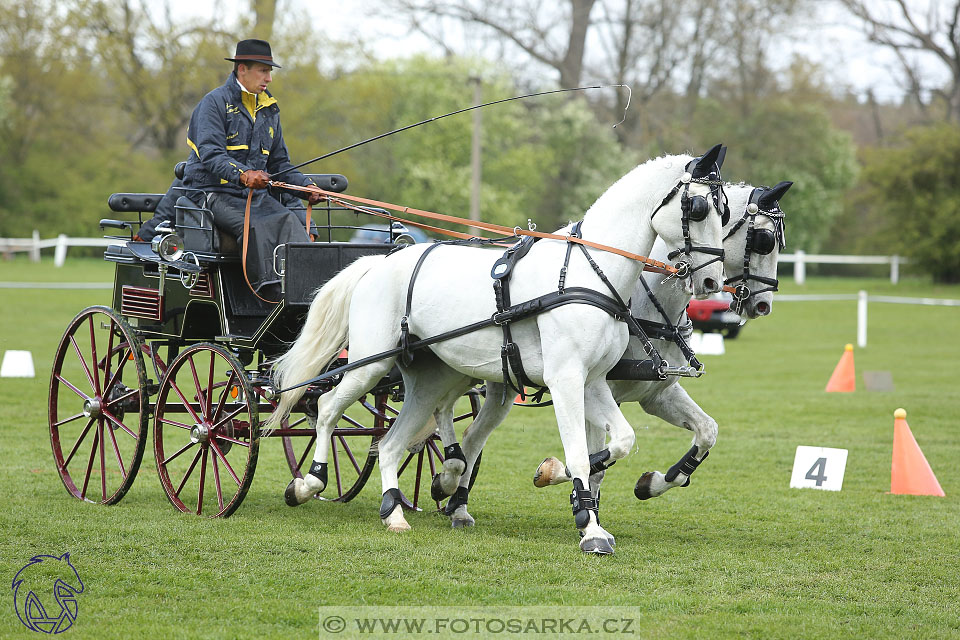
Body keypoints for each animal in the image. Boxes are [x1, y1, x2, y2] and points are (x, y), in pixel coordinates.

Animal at [266, 145, 724, 556]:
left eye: (725, 213)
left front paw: (563, 487)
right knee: (326, 407)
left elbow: (621, 441)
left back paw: (394, 512)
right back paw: (308, 483)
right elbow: (579, 454)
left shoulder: (593, 382)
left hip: (429, 381)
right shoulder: (565, 380)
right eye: (699, 208)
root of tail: (377, 263)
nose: (711, 283)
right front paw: (589, 527)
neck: (587, 274)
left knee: (394, 442)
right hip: (369, 365)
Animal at [432, 179, 792, 528]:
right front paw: (569, 491)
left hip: (500, 383)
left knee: (471, 434)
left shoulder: (655, 394)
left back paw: (455, 501)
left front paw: (653, 483)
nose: (763, 304)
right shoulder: (597, 389)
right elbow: (595, 461)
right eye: (764, 241)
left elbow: (707, 432)